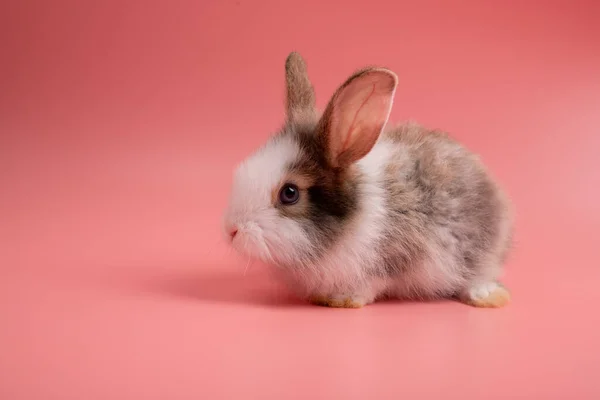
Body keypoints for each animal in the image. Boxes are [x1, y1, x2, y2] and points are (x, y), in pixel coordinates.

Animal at [223, 52, 512, 310]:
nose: (231, 230)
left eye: (290, 193)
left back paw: (489, 297)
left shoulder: (391, 260)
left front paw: (343, 300)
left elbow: (372, 284)